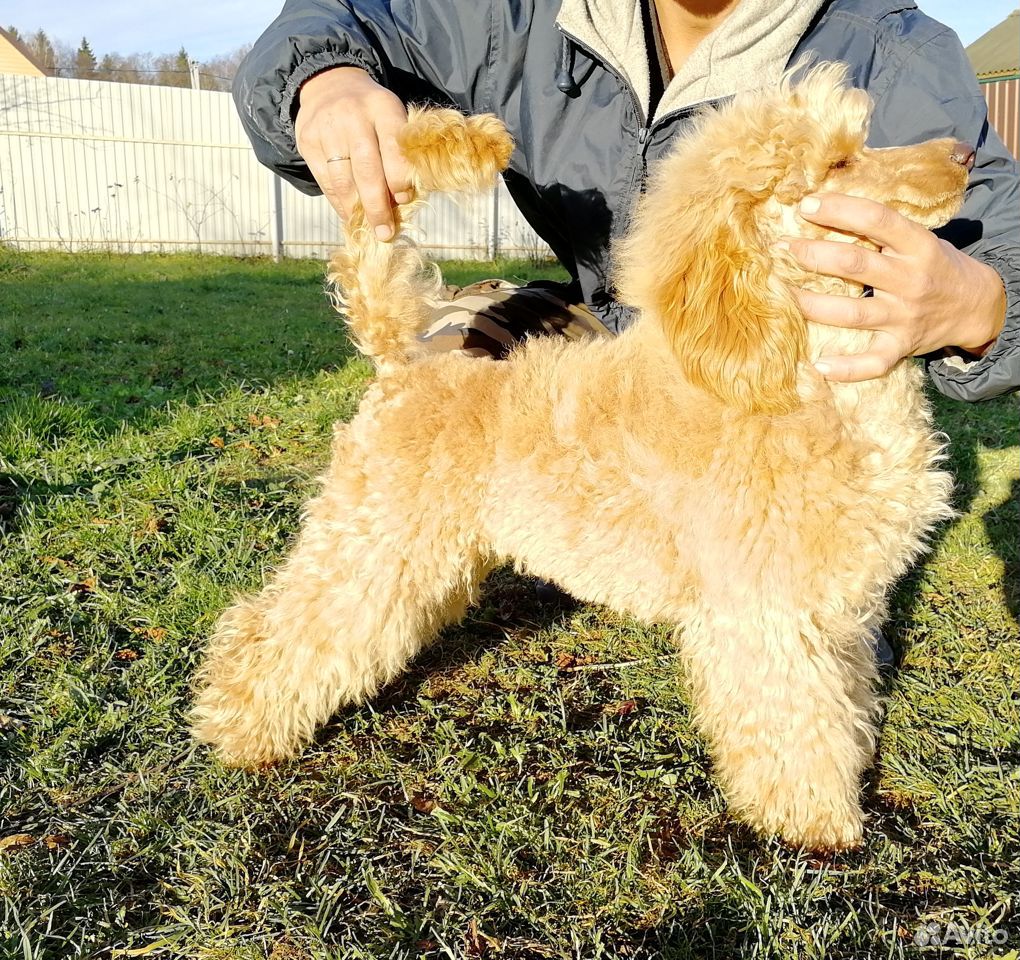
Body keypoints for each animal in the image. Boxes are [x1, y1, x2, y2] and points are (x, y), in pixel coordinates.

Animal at [194, 63, 966, 848]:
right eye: (838, 163)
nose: (962, 154)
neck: (795, 371)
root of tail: (404, 356)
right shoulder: (765, 611)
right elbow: (796, 727)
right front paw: (817, 825)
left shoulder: (839, 608)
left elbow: (844, 708)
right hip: (375, 544)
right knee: (280, 632)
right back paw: (236, 731)